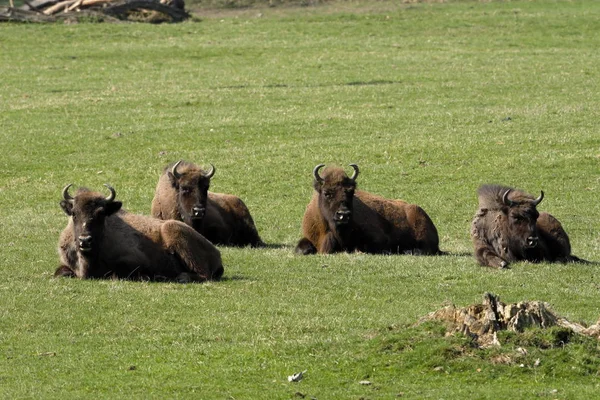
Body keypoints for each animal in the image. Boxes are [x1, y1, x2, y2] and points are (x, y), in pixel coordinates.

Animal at [53, 184, 223, 282]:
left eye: (101, 214)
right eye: (74, 213)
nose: (85, 240)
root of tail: (216, 252)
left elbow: (117, 273)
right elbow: (60, 272)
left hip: (173, 230)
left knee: (203, 274)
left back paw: (179, 277)